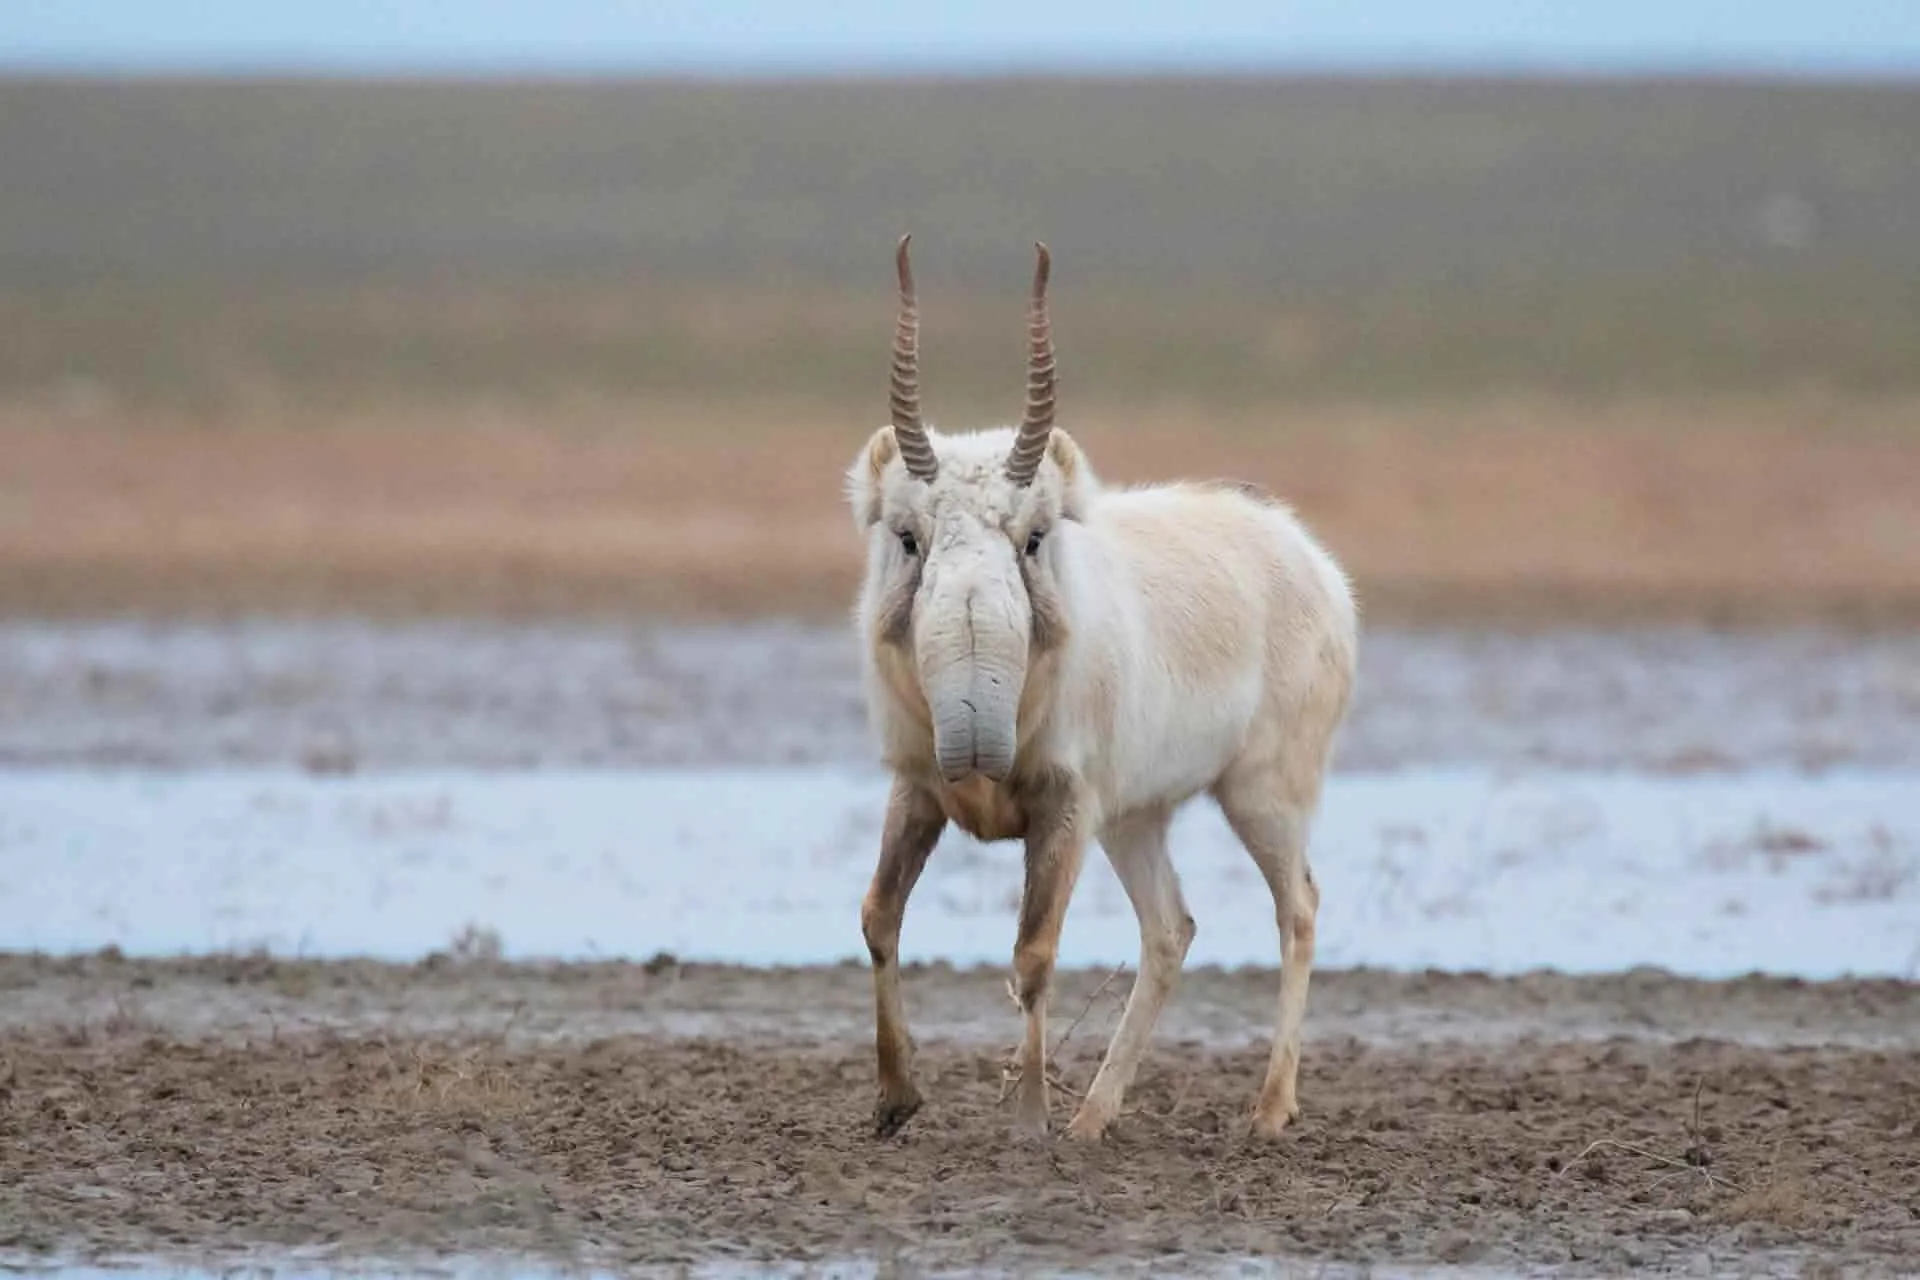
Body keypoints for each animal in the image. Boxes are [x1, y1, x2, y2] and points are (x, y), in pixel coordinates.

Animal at [846, 236, 1358, 1142]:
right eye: (908, 536)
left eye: (1034, 535)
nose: (974, 734)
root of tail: (1312, 562)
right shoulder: (917, 789)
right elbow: (878, 916)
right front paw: (896, 1102)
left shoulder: (1064, 805)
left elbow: (1033, 953)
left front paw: (1027, 1119)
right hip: (1136, 818)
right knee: (1171, 929)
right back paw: (1095, 1116)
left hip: (1261, 795)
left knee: (1297, 906)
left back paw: (1267, 1110)